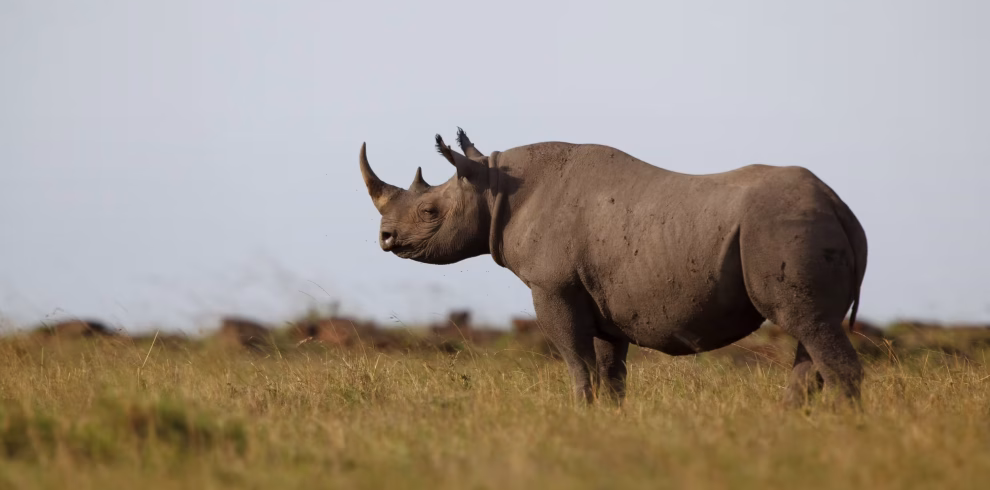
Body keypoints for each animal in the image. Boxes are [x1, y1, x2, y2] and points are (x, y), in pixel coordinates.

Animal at [358, 129, 867, 407]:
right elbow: (609, 372)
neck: (493, 187)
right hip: (796, 225)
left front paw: (580, 416)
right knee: (810, 329)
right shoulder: (606, 300)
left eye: (429, 212)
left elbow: (576, 361)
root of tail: (840, 207)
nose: (385, 239)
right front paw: (608, 419)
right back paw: (790, 422)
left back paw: (844, 431)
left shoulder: (552, 287)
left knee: (809, 324)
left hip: (782, 226)